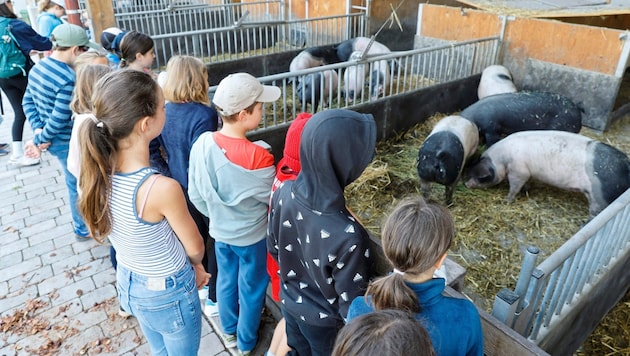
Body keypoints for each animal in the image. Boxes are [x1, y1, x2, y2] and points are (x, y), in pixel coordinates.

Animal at [464, 131, 630, 218]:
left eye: (482, 177)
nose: (466, 184)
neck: (502, 160)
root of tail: (626, 166)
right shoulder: (528, 172)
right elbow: (527, 183)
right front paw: (527, 190)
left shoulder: (519, 171)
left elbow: (515, 187)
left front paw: (506, 201)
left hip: (599, 197)